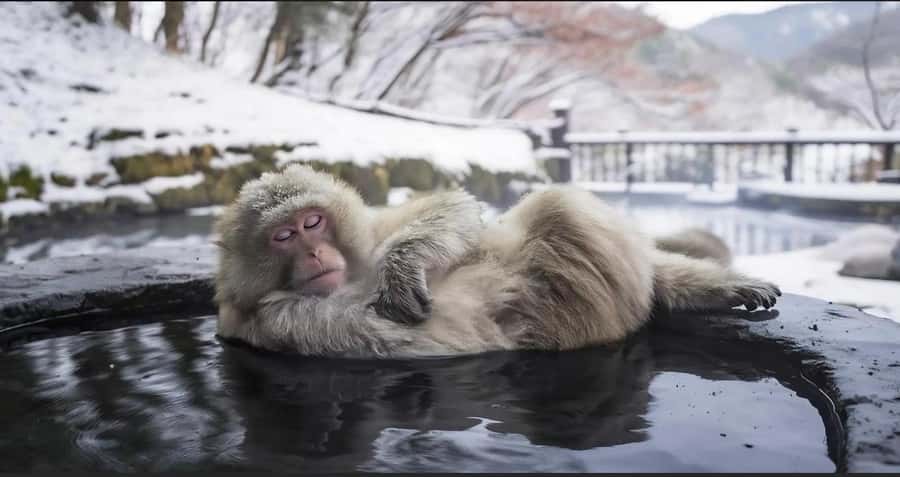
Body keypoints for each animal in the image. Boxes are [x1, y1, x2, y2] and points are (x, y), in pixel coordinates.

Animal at [214, 164, 780, 358]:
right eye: (283, 236)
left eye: (312, 223)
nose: (313, 252)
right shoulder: (278, 321)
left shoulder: (374, 227)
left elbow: (455, 210)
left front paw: (402, 265)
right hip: (598, 302)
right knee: (560, 209)